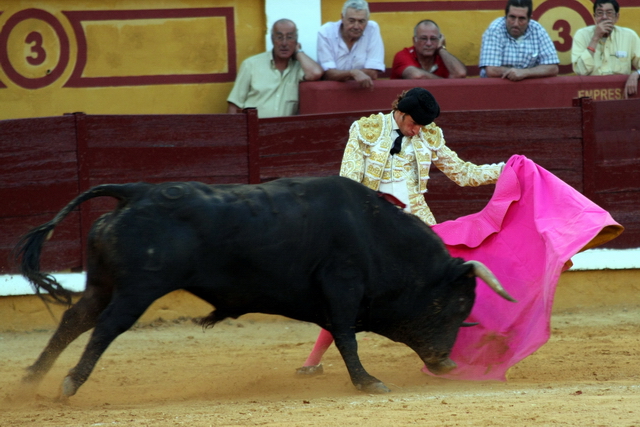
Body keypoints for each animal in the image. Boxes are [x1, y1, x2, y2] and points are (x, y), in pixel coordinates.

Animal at [16, 176, 516, 396]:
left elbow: (338, 334)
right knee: (105, 328)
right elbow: (347, 336)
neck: (376, 233)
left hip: (102, 282)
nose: (447, 363)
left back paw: (29, 381)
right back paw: (67, 385)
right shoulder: (342, 285)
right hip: (138, 289)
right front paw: (368, 382)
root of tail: (134, 192)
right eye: (457, 305)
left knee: (75, 318)